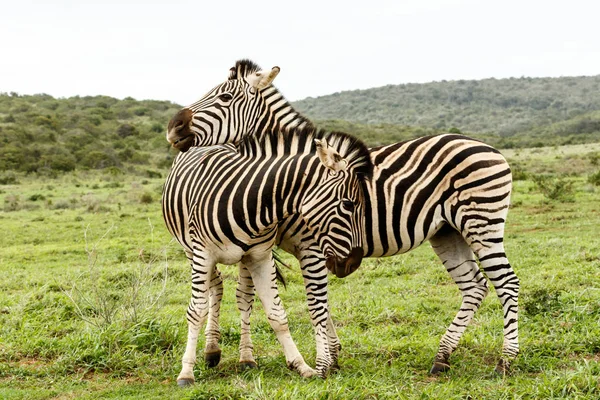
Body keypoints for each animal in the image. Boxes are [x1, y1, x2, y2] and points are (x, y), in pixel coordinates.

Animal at [162, 123, 372, 386]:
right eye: (348, 204)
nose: (354, 262)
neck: (250, 202)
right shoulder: (203, 254)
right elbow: (196, 312)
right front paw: (186, 372)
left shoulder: (259, 257)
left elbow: (277, 314)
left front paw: (301, 365)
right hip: (190, 250)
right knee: (215, 286)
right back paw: (211, 349)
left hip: (244, 259)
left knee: (242, 297)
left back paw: (244, 358)